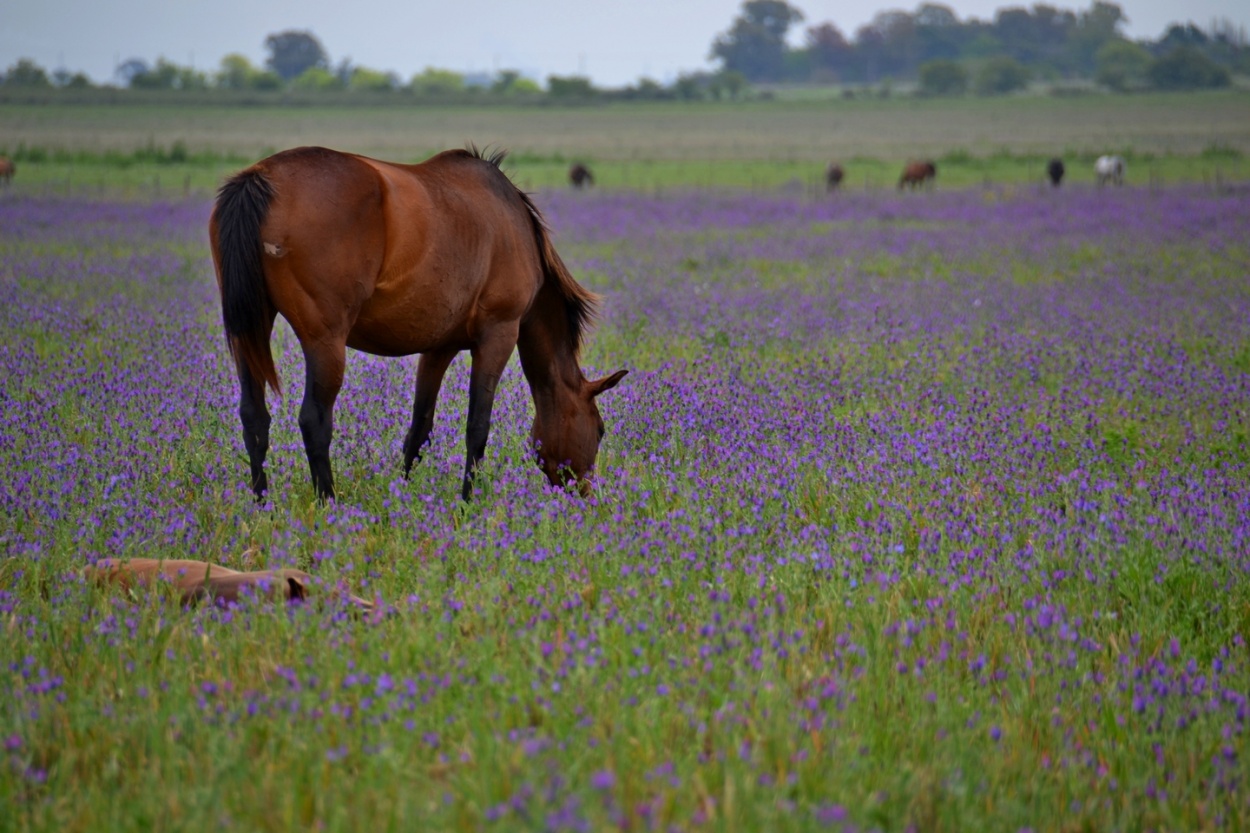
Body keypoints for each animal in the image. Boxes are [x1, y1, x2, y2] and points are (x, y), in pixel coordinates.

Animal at [211, 144, 635, 500]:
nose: (584, 494)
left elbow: (419, 431)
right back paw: (327, 504)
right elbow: (477, 428)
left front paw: (403, 498)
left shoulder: (438, 348)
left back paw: (262, 504)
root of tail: (261, 177)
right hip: (324, 342)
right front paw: (466, 505)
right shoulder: (498, 335)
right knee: (314, 420)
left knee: (254, 417)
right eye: (600, 429)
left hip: (250, 332)